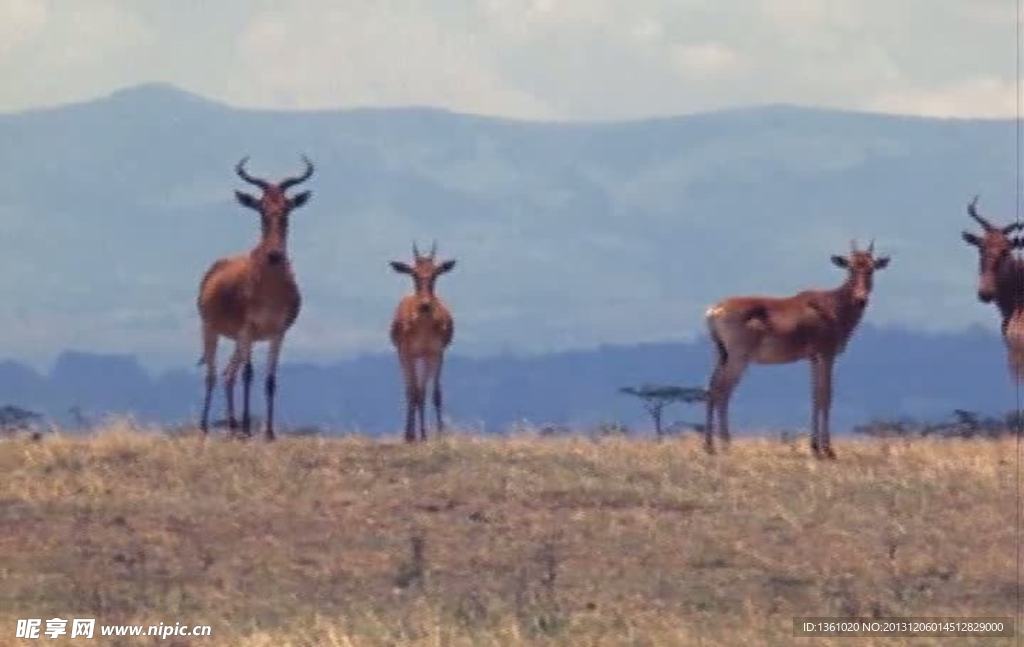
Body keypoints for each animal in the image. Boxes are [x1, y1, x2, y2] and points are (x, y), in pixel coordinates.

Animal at [195, 155, 313, 440]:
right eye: (261, 209)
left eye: (287, 209)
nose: (274, 255)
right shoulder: (248, 328)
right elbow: (249, 374)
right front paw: (249, 429)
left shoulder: (278, 332)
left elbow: (270, 379)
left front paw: (268, 432)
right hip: (211, 329)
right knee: (212, 374)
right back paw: (206, 427)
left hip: (238, 340)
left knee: (228, 373)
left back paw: (233, 426)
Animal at [387, 240, 456, 442]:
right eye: (414, 274)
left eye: (435, 274)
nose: (425, 304)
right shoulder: (407, 353)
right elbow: (414, 392)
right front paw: (413, 435)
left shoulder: (435, 353)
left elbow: (433, 393)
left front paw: (436, 434)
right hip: (404, 356)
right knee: (410, 390)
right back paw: (409, 434)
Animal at [704, 238, 888, 460]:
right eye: (850, 268)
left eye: (871, 268)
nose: (861, 299)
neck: (831, 305)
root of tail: (716, 309)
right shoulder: (826, 355)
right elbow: (826, 395)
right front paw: (828, 450)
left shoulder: (813, 358)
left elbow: (815, 396)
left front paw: (815, 447)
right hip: (739, 358)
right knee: (723, 391)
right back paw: (726, 445)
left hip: (721, 354)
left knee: (711, 389)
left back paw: (709, 446)